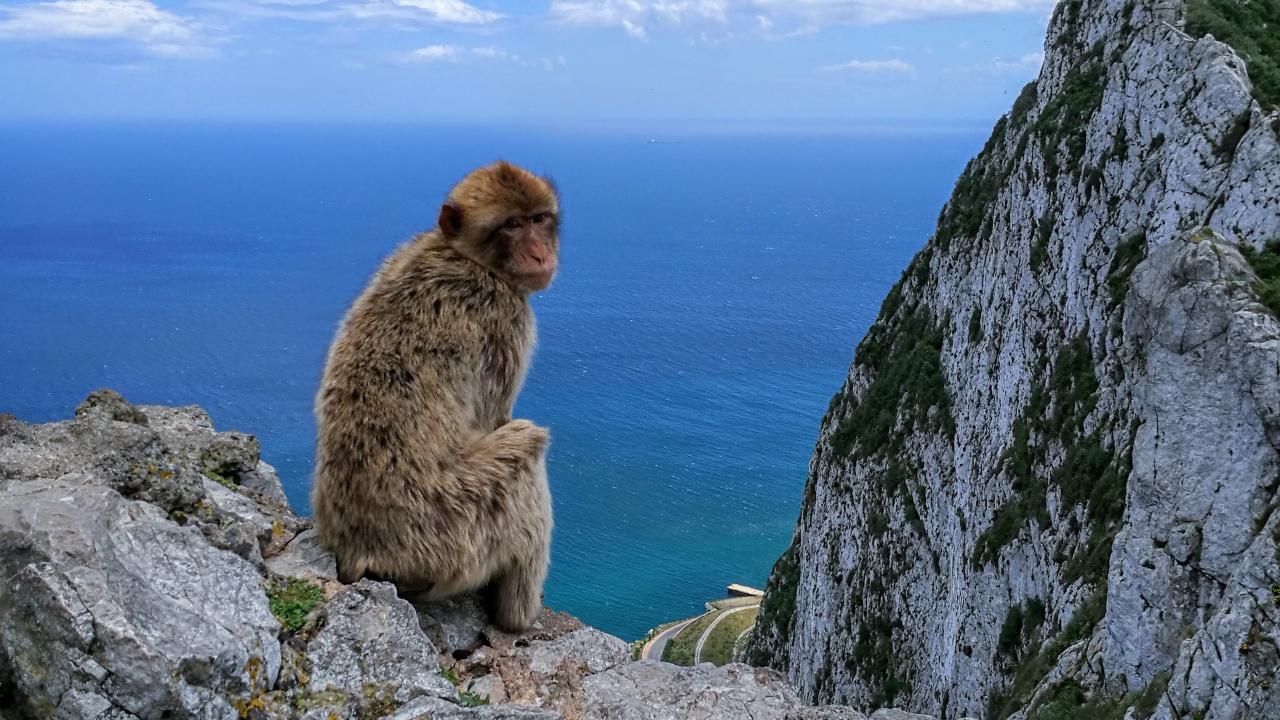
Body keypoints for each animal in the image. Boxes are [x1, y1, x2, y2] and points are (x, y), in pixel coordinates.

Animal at [311, 160, 559, 631]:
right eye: (512, 225)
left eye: (539, 219)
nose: (541, 255)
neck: (463, 255)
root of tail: (359, 552)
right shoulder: (506, 318)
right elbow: (496, 419)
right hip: (454, 529)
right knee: (526, 448)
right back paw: (517, 617)